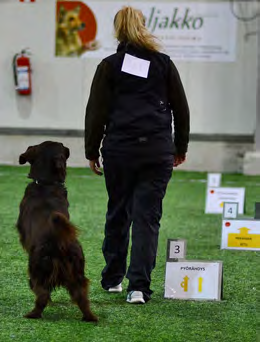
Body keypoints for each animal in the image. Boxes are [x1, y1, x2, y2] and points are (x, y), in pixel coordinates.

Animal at [16, 140, 97, 322]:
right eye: (62, 146)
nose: (68, 148)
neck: (45, 184)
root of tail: (59, 240)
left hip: (37, 269)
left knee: (42, 295)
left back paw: (32, 314)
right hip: (77, 273)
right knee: (82, 297)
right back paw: (90, 317)